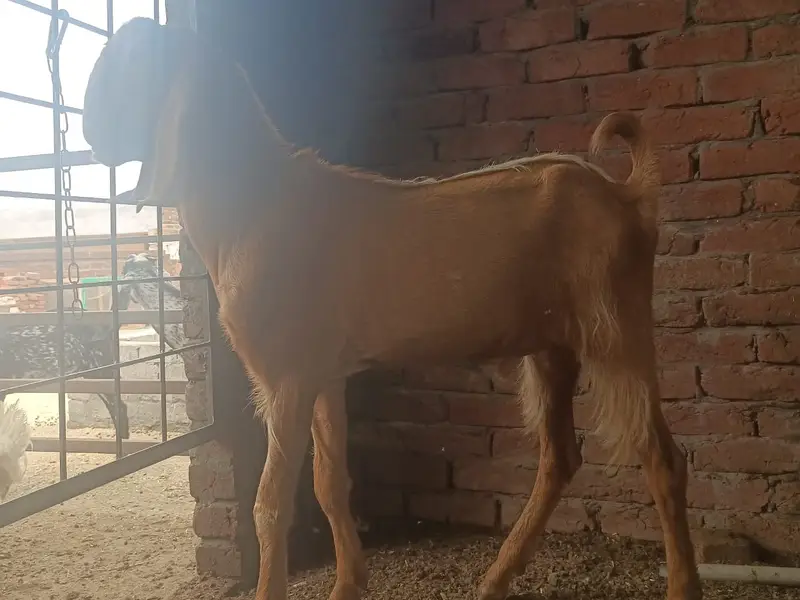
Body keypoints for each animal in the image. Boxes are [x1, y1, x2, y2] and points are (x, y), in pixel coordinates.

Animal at [81, 18, 701, 600]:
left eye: (134, 64)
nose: (88, 133)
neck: (255, 204)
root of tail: (629, 196)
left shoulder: (287, 373)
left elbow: (271, 501)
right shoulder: (324, 372)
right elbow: (330, 483)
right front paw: (347, 583)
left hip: (615, 327)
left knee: (662, 458)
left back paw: (680, 584)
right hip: (552, 344)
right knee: (560, 458)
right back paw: (496, 577)